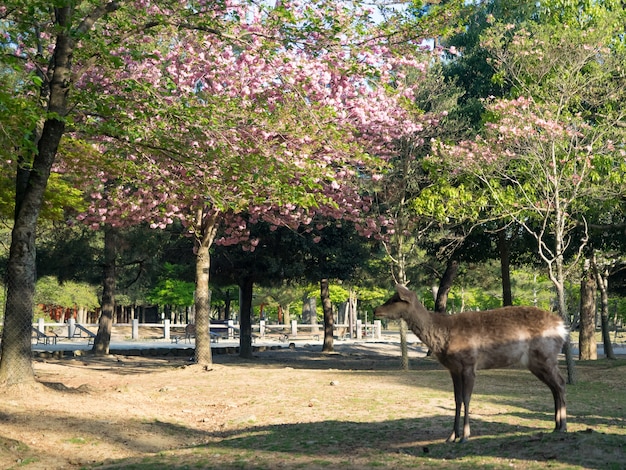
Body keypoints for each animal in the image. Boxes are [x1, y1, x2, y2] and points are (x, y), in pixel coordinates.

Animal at [372, 284, 568, 442]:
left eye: (395, 299)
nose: (375, 310)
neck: (442, 336)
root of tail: (562, 327)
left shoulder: (469, 364)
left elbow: (467, 398)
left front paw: (465, 436)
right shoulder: (453, 369)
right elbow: (457, 399)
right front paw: (452, 436)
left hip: (545, 356)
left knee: (560, 383)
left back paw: (563, 427)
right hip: (537, 362)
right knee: (554, 386)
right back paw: (556, 426)